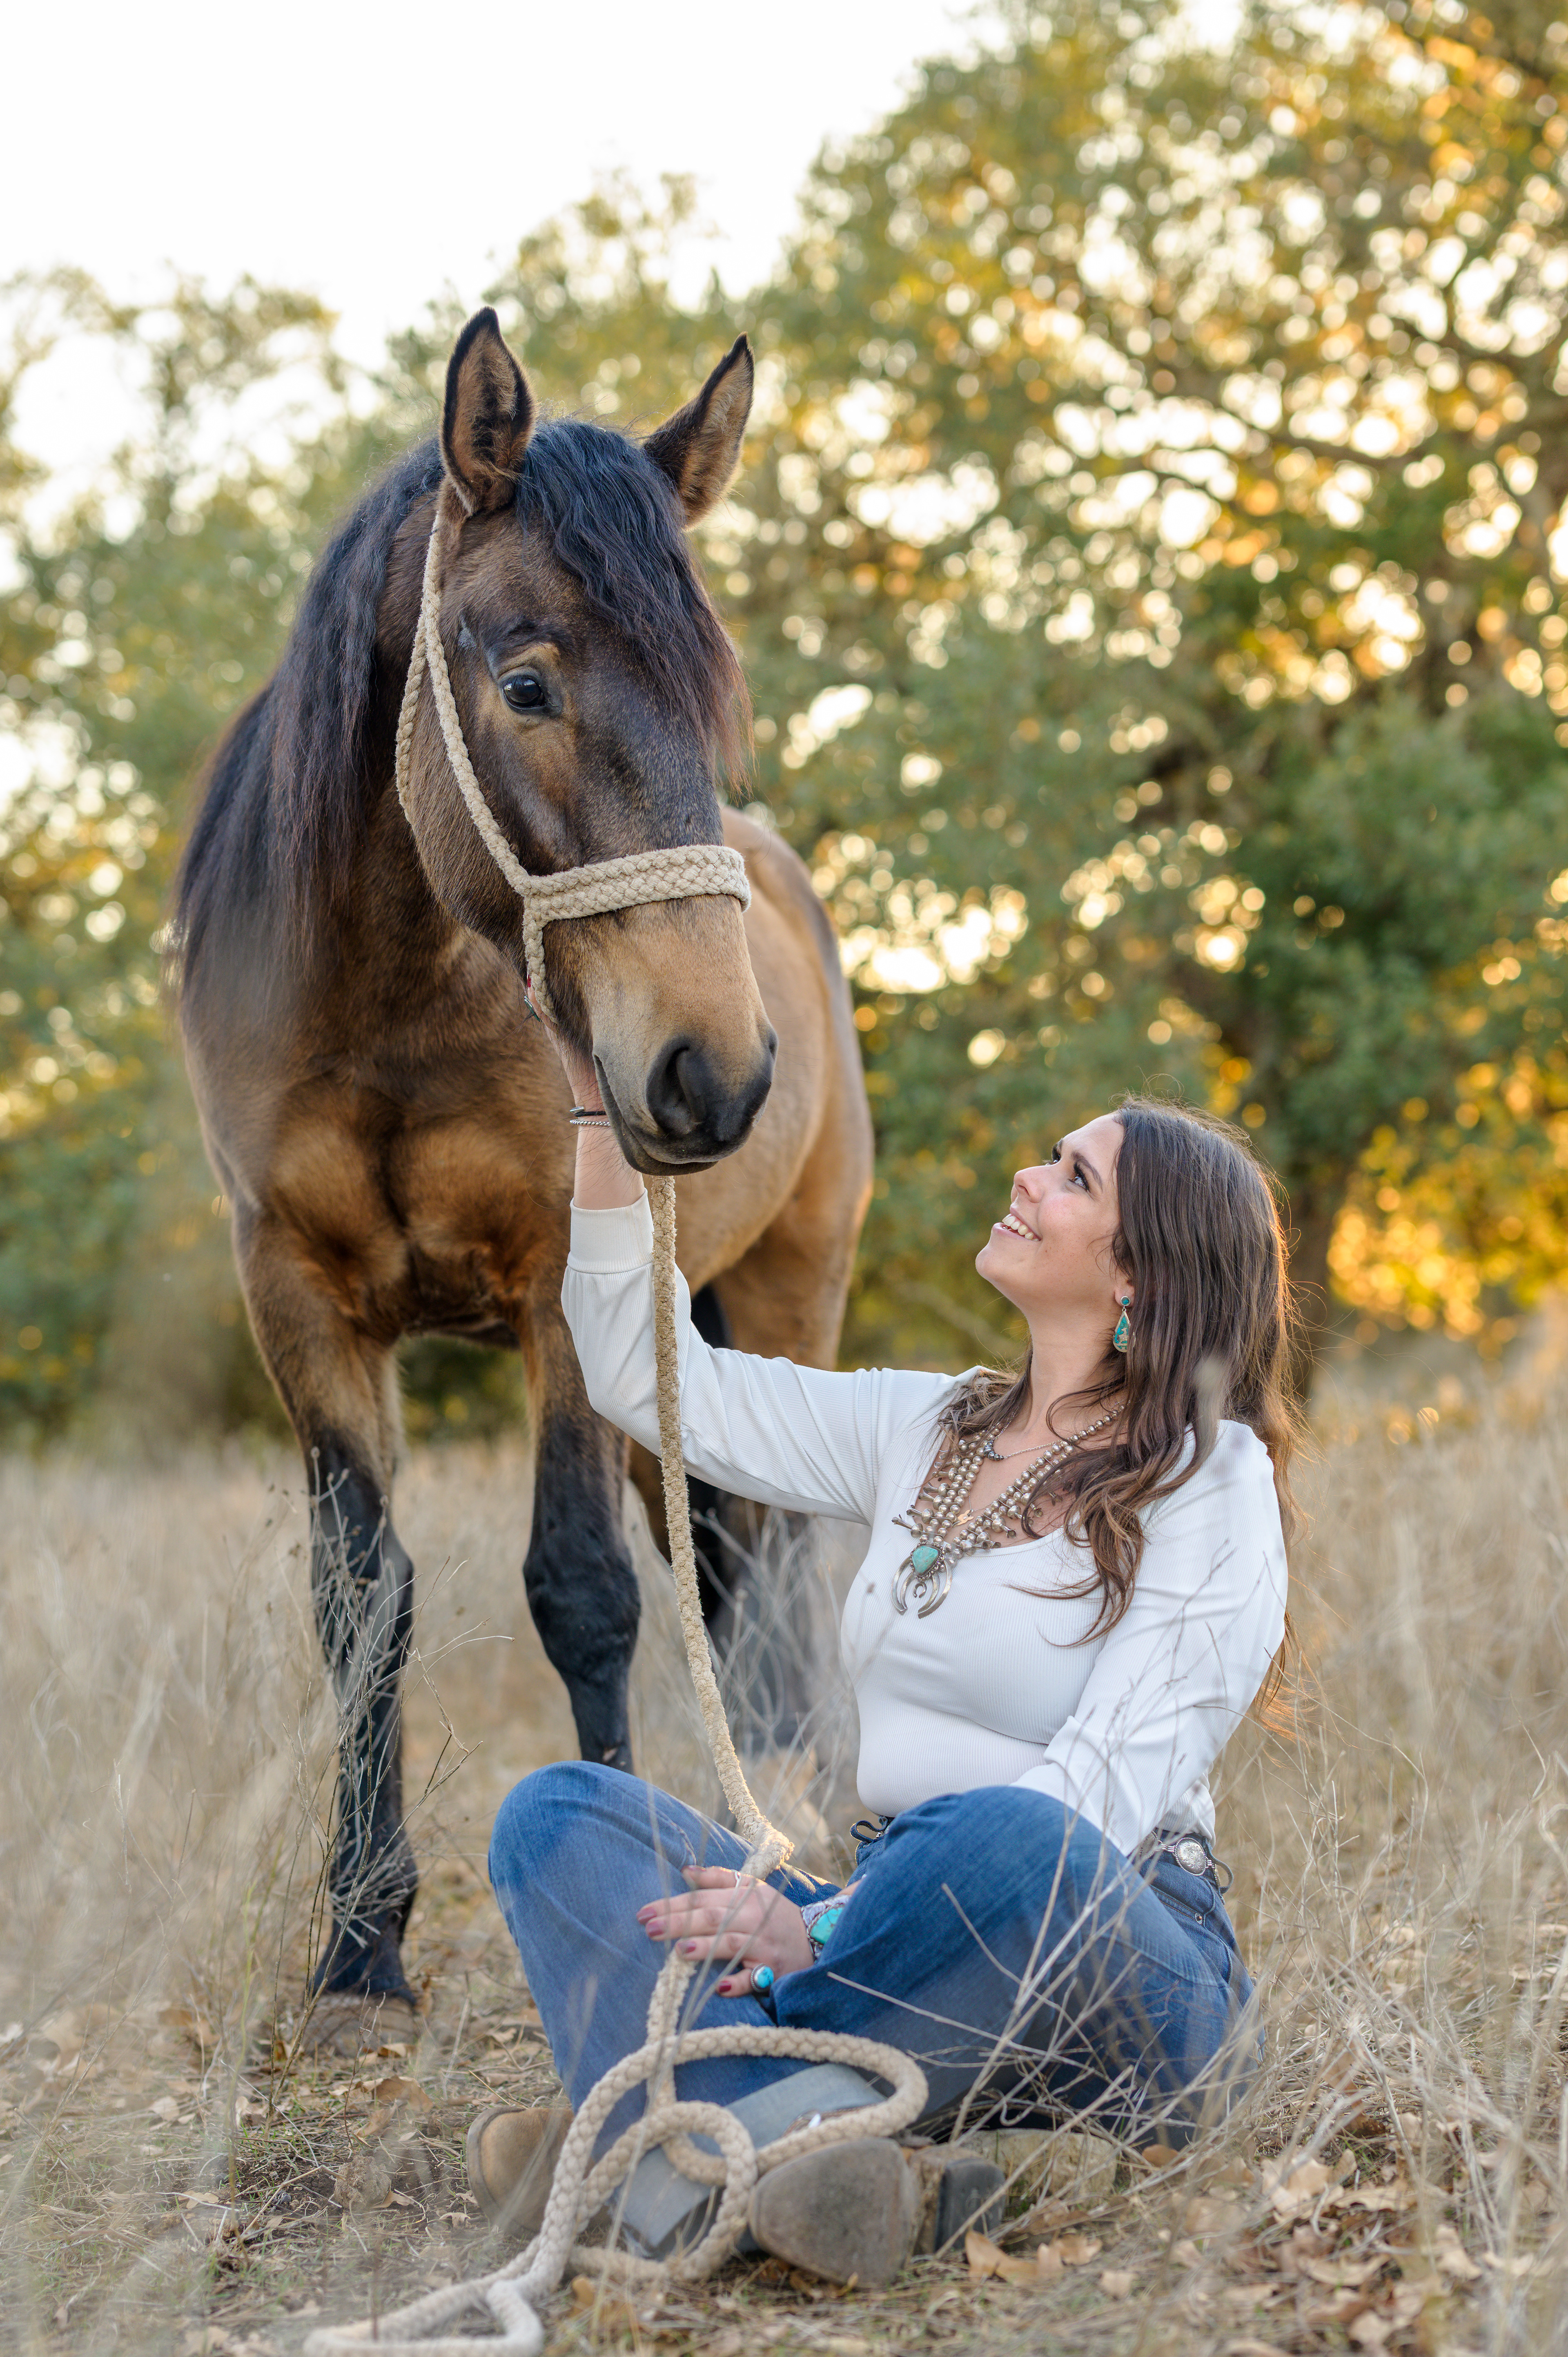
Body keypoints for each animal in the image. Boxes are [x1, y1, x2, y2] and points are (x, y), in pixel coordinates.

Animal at [172, 310, 872, 2025]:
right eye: (529, 680)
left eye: (717, 706)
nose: (716, 1070)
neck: (385, 1004)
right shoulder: (299, 1302)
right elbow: (361, 1600)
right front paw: (362, 1945)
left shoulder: (564, 1293)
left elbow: (582, 1591)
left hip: (788, 1288)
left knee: (774, 1554)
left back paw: (802, 1794)